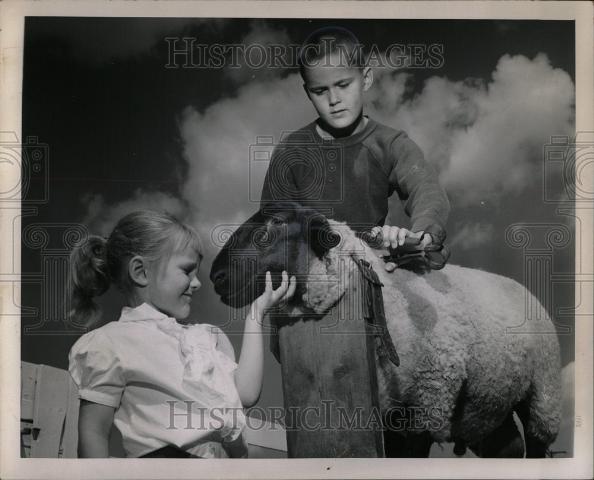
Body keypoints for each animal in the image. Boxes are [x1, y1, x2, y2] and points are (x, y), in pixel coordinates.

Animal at [209, 202, 560, 458]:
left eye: (268, 230)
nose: (216, 278)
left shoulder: (424, 407)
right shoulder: (388, 417)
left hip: (542, 393)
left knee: (537, 440)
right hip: (488, 404)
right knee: (509, 447)